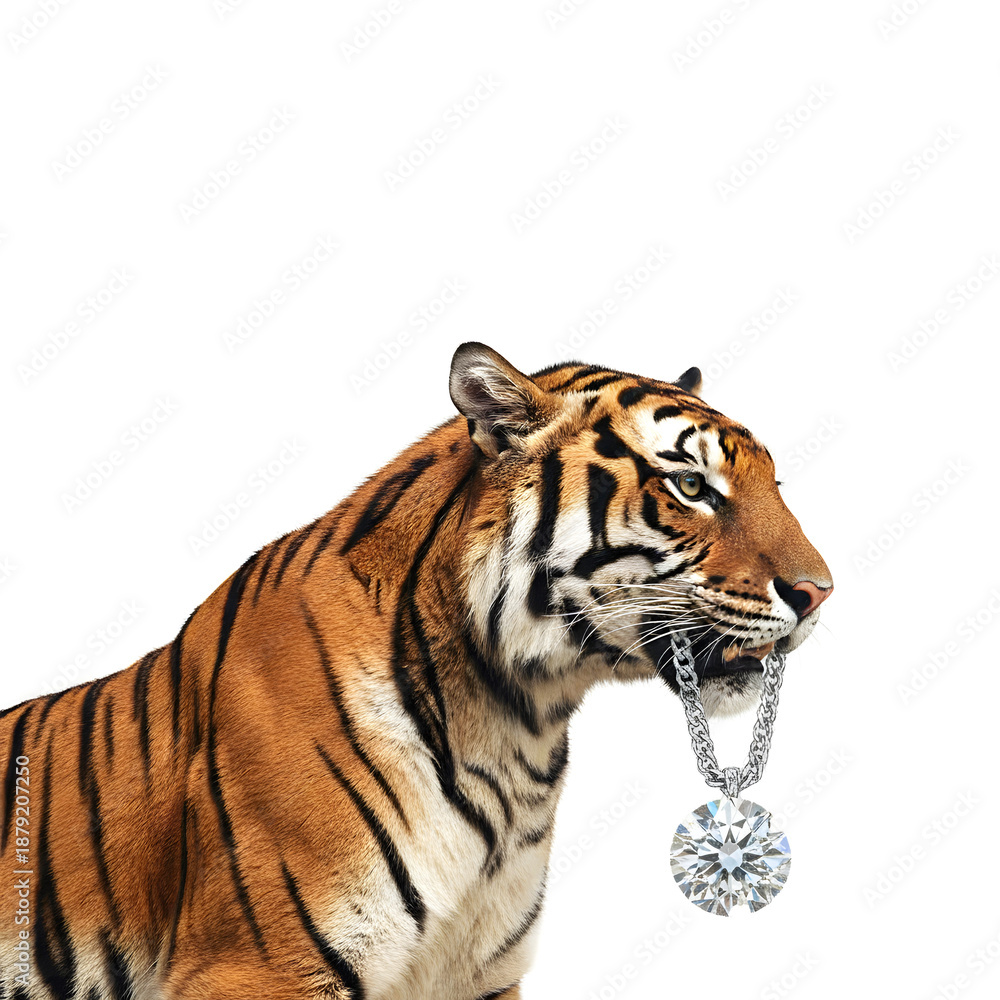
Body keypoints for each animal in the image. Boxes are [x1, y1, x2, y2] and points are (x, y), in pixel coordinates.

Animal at [0, 342, 832, 1000]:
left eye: (776, 487)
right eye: (691, 486)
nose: (821, 592)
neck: (516, 723)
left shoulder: (478, 973)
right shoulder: (259, 965)